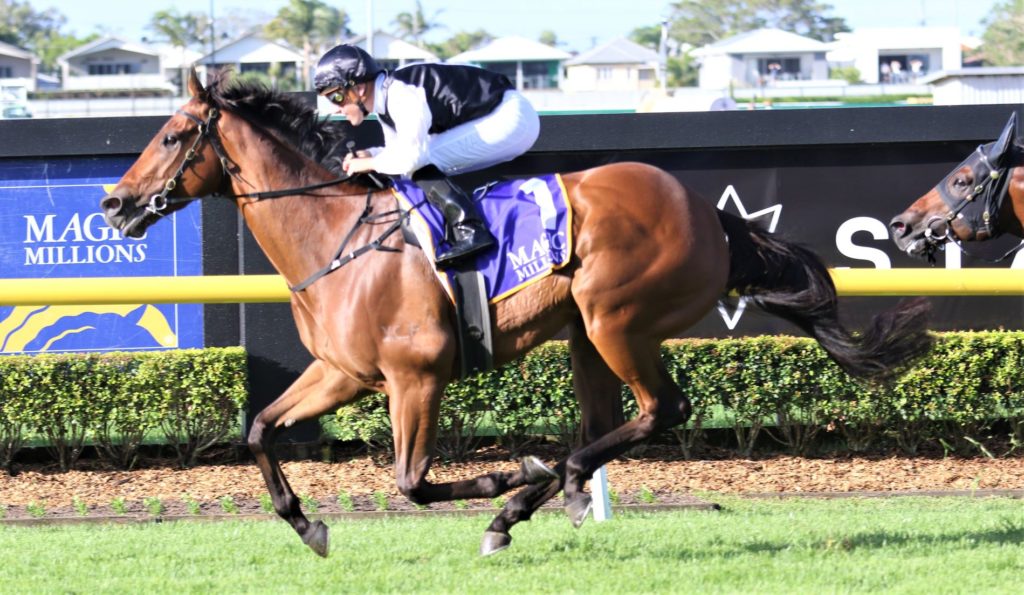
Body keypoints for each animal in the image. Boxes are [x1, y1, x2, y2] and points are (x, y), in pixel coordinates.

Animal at [101, 69, 933, 558]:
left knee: (659, 410)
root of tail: (710, 213)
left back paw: (525, 494)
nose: (114, 203)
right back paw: (542, 493)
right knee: (601, 427)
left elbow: (412, 480)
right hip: (588, 334)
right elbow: (260, 428)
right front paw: (308, 524)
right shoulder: (342, 372)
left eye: (172, 134)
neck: (336, 234)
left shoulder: (416, 375)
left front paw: (502, 476)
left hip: (616, 318)